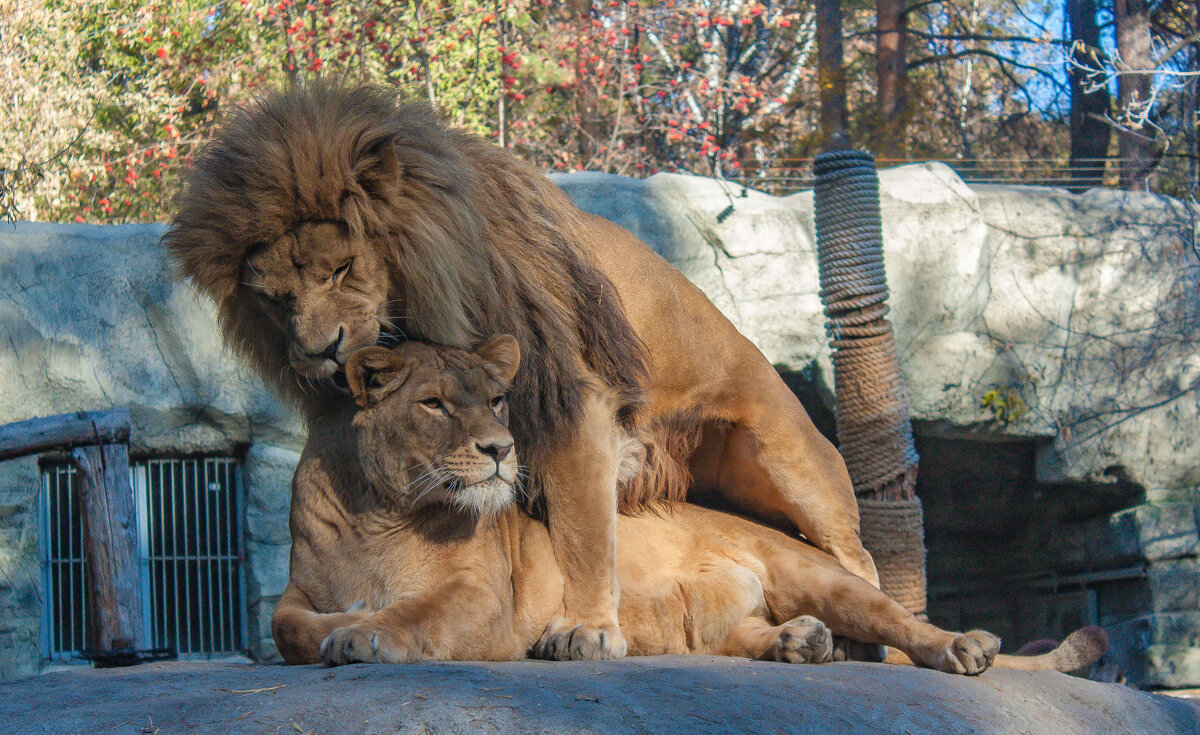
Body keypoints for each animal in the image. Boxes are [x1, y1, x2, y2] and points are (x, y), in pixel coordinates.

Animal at [166, 80, 873, 658]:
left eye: (340, 269)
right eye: (275, 298)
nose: (318, 352)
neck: (413, 295)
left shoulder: (572, 401)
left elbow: (583, 534)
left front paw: (587, 629)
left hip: (792, 461)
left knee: (854, 558)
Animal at [272, 336, 1104, 672]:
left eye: (498, 399)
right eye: (437, 403)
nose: (501, 447)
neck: (379, 511)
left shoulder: (485, 598)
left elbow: (415, 611)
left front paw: (361, 634)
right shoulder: (292, 592)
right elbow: (285, 625)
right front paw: (338, 626)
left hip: (819, 571)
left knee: (898, 621)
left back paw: (961, 646)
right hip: (714, 619)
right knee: (740, 635)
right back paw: (800, 642)